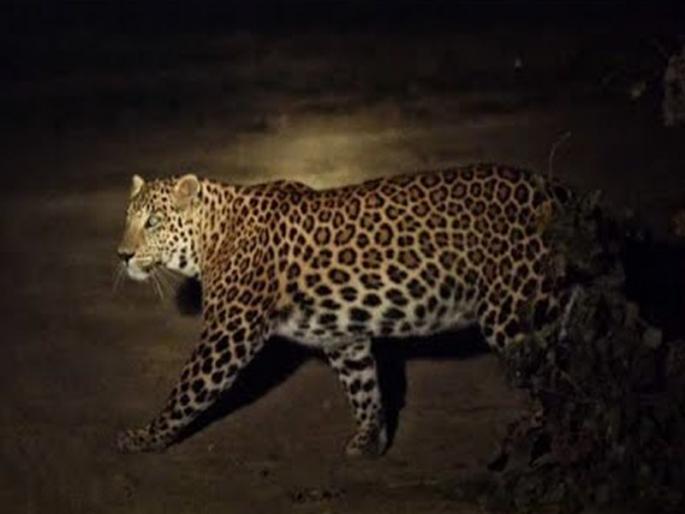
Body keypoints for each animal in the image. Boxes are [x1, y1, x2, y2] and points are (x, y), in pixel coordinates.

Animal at [115, 163, 571, 458]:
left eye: (153, 222)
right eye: (128, 219)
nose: (122, 255)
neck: (211, 238)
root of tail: (558, 189)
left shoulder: (228, 334)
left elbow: (186, 392)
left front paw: (144, 438)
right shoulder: (340, 336)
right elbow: (363, 386)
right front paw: (371, 439)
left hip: (512, 312)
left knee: (554, 376)